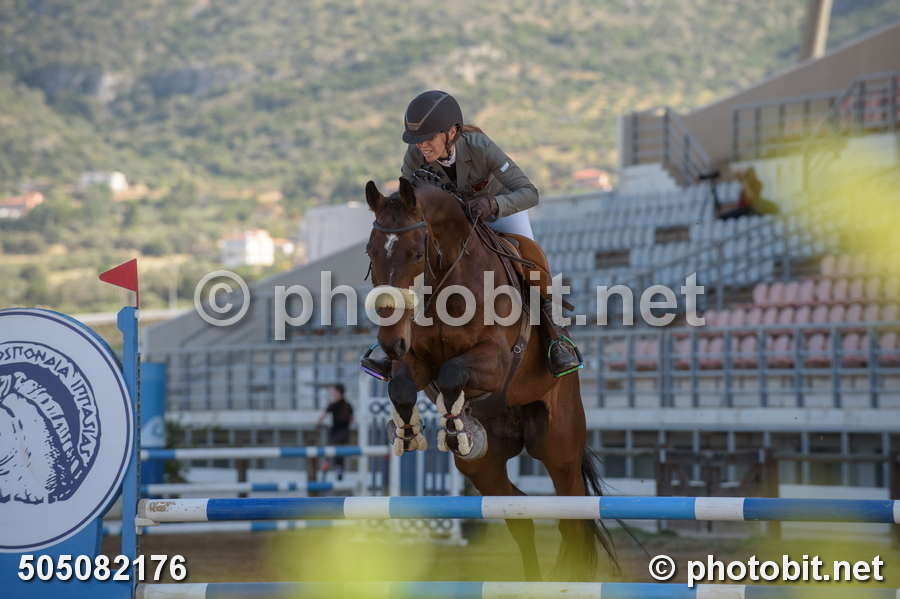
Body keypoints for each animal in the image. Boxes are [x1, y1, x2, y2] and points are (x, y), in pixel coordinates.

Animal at [363, 177, 616, 580]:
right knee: (519, 512)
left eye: (416, 253)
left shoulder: (496, 360)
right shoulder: (415, 360)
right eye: (371, 253)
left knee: (573, 515)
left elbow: (453, 373)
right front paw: (410, 432)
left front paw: (454, 427)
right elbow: (402, 387)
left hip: (558, 445)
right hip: (483, 466)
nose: (390, 343)